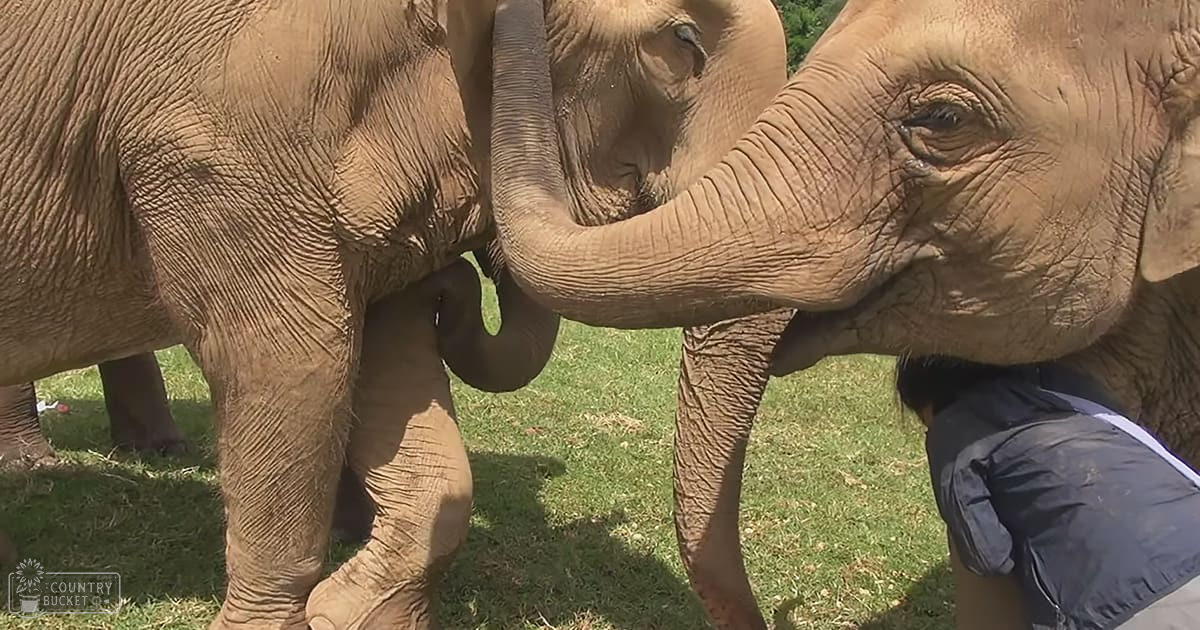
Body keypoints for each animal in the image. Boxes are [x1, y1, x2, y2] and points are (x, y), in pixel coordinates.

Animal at [0, 0, 787, 627]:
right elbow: (292, 361)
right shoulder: (219, 132)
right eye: (682, 40)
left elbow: (385, 360)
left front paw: (347, 614)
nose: (455, 282)